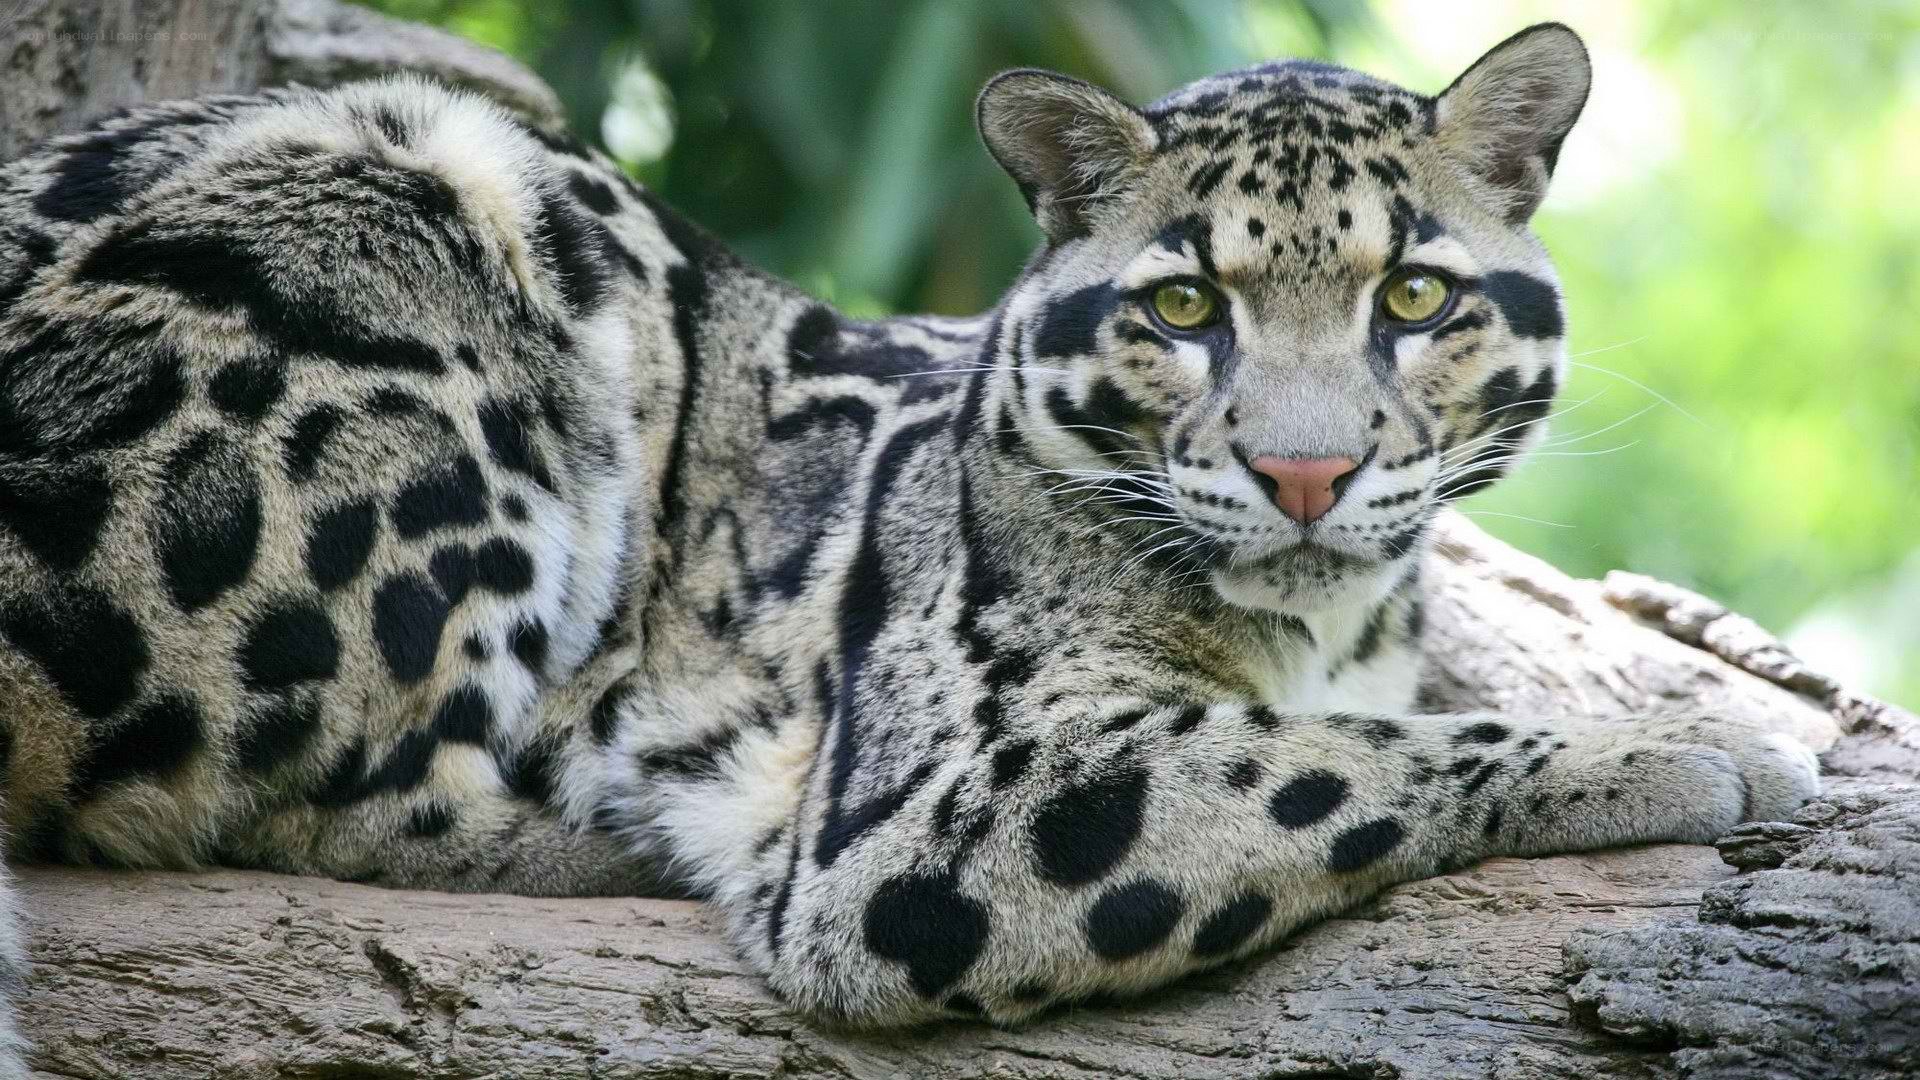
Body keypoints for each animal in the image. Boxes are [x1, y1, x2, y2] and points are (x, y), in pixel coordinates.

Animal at [0, 21, 1818, 1064]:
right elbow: (1325, 758)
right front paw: (1691, 744)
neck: (1318, 613)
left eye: (1417, 296)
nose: (1305, 475)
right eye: (1184, 308)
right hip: (414, 201)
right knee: (288, 795)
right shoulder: (931, 811)